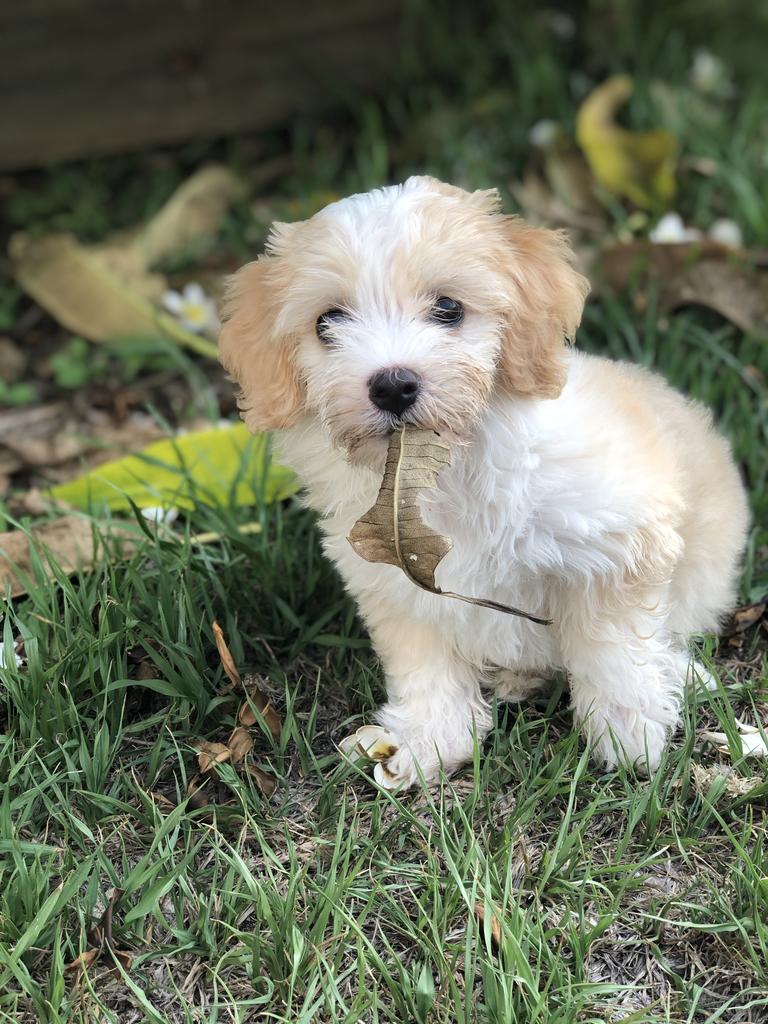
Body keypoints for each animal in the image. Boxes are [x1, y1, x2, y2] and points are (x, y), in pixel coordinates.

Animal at [219, 176, 749, 786]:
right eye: (327, 322)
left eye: (448, 307)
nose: (393, 385)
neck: (445, 472)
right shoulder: (399, 582)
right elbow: (426, 662)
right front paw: (430, 738)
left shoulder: (617, 541)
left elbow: (610, 641)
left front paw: (628, 730)